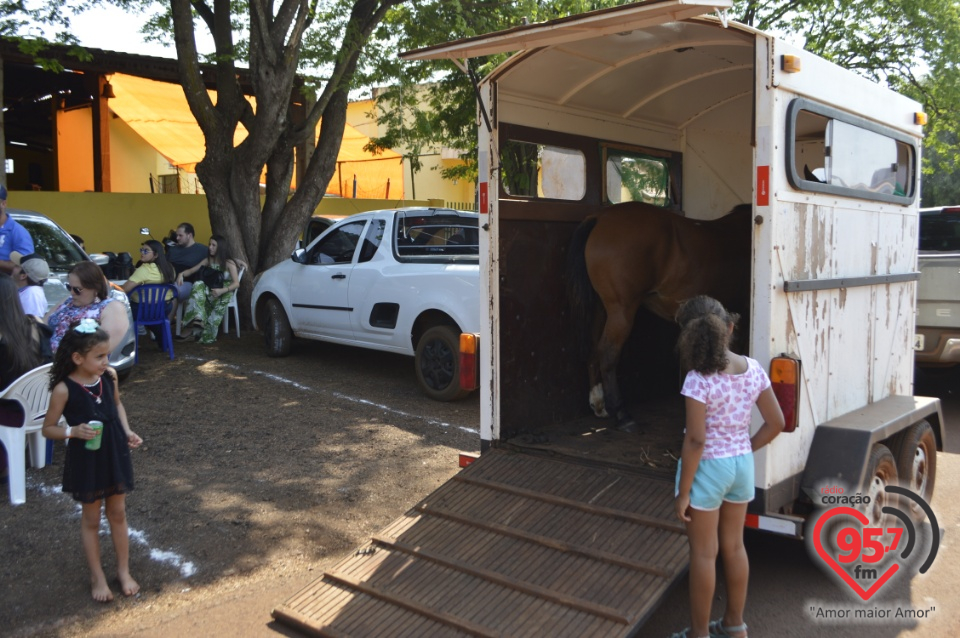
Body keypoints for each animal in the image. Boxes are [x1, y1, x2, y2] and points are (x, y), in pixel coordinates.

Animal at [568, 201, 752, 430]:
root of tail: (600, 217)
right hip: (621, 310)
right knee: (608, 353)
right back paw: (621, 413)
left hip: (602, 309)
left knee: (594, 349)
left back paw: (599, 403)